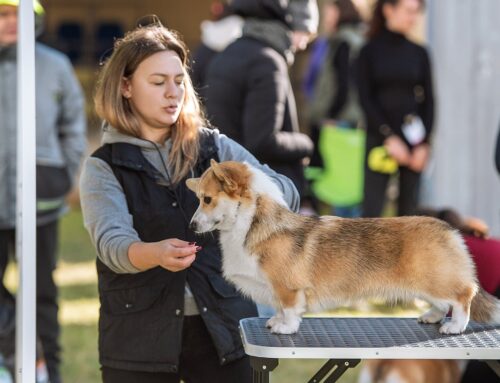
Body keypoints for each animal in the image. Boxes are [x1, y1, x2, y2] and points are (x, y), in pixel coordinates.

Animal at [186, 160, 500, 334]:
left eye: (208, 199)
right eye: (199, 198)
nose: (191, 226)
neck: (250, 222)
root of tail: (451, 230)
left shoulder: (288, 288)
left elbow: (289, 310)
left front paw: (285, 328)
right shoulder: (273, 289)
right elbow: (278, 308)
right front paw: (275, 322)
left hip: (435, 280)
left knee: (464, 295)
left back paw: (454, 326)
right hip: (425, 284)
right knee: (442, 303)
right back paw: (431, 317)